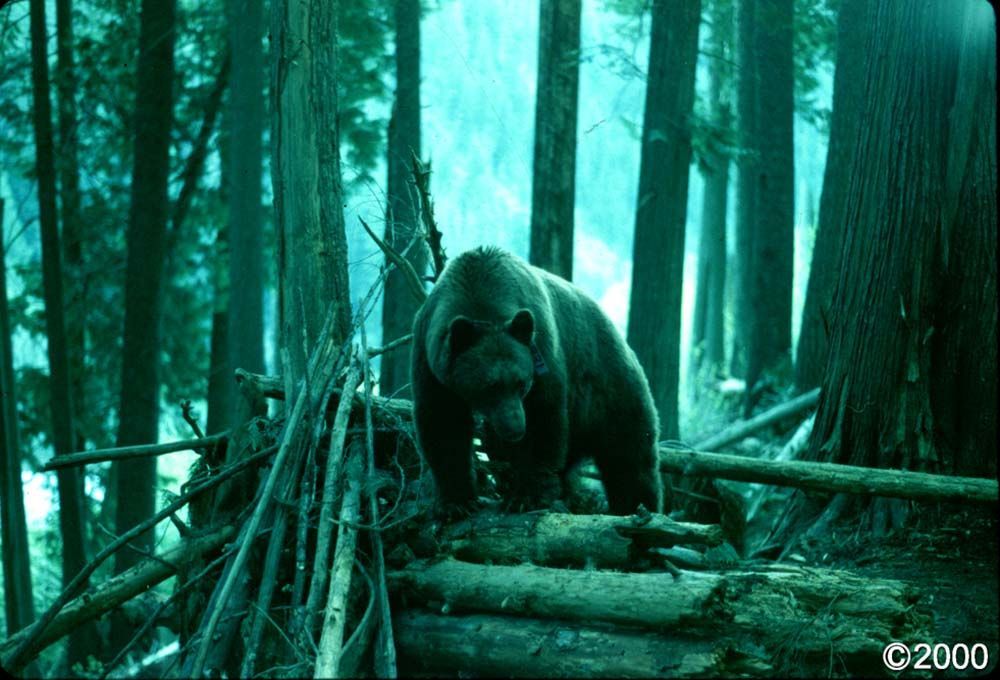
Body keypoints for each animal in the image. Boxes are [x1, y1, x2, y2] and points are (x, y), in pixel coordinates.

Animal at [410, 246, 663, 517]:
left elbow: (543, 418)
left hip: (611, 393)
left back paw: (636, 507)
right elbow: (443, 423)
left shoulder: (541, 348)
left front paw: (526, 496)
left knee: (629, 459)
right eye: (489, 386)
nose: (515, 428)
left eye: (522, 383)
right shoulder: (432, 363)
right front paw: (456, 503)